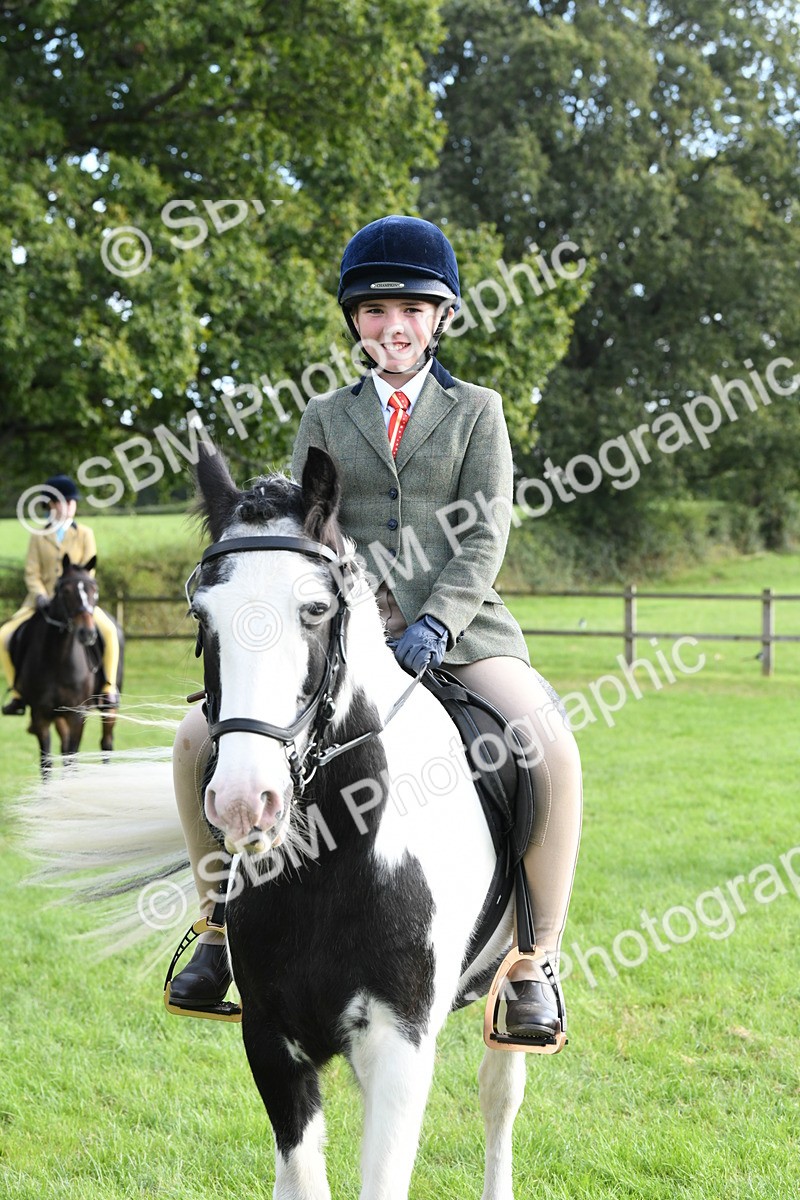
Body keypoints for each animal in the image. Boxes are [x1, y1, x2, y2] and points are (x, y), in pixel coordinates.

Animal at [12, 555, 124, 776]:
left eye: (94, 589)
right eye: (65, 591)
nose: (87, 633)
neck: (58, 657)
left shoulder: (76, 714)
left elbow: (73, 758)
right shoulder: (41, 715)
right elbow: (47, 763)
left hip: (108, 708)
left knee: (106, 743)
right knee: (64, 748)